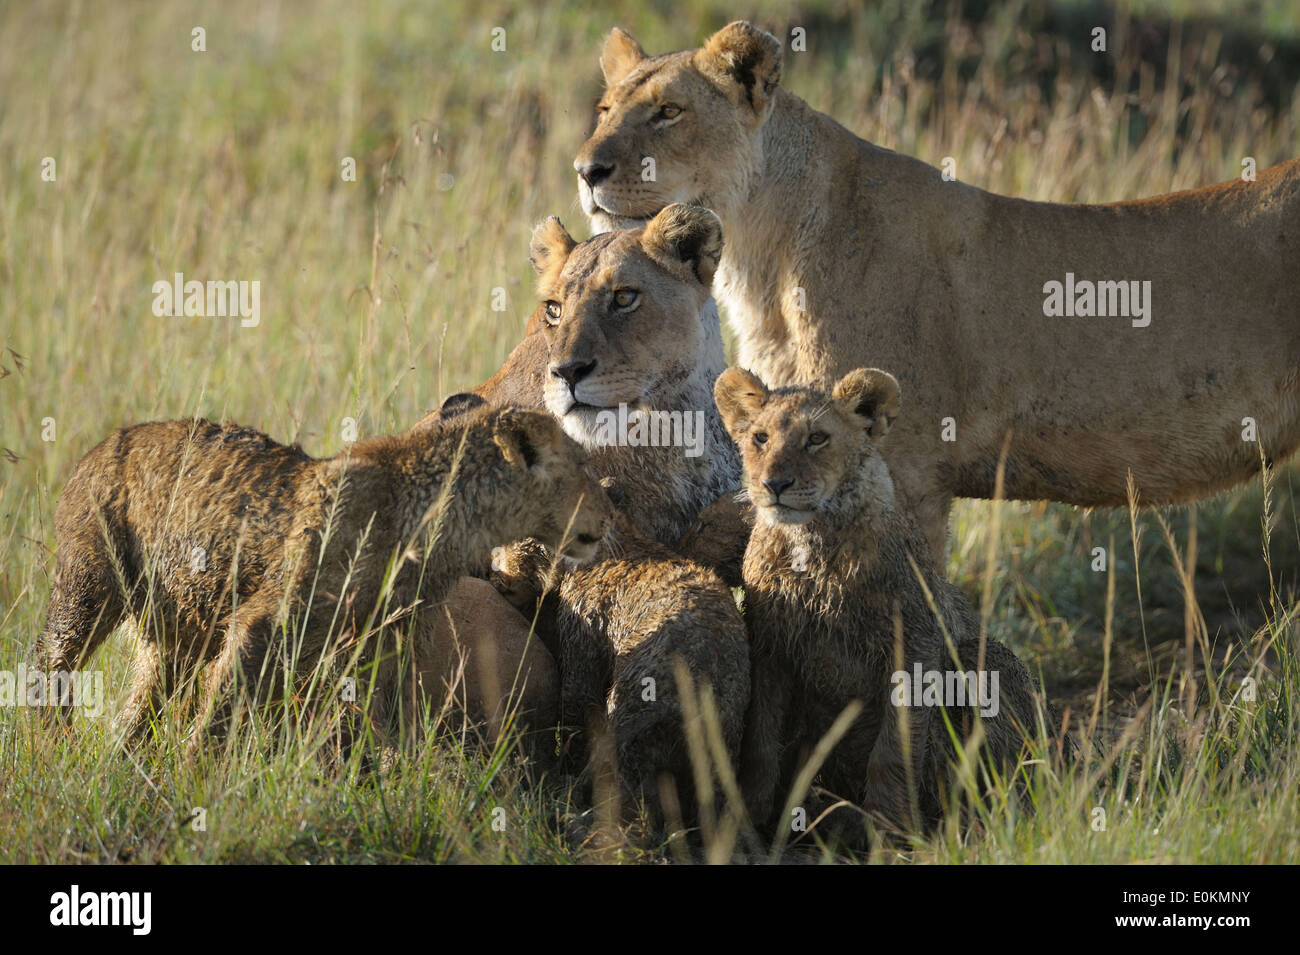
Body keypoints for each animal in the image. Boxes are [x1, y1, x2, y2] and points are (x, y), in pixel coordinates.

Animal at [34, 406, 613, 753]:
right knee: (49, 660)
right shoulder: (261, 626)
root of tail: (103, 443)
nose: (608, 517)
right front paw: (192, 780)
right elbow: (221, 713)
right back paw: (52, 745)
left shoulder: (376, 653)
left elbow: (383, 727)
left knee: (141, 701)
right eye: (582, 466)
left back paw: (122, 759)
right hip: (88, 589)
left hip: (175, 632)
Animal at [714, 365, 1055, 836]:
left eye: (817, 438)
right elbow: (760, 740)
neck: (811, 542)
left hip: (983, 661)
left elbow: (895, 745)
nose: (775, 484)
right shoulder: (769, 643)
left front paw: (888, 828)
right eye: (761, 438)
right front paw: (747, 818)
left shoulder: (914, 639)